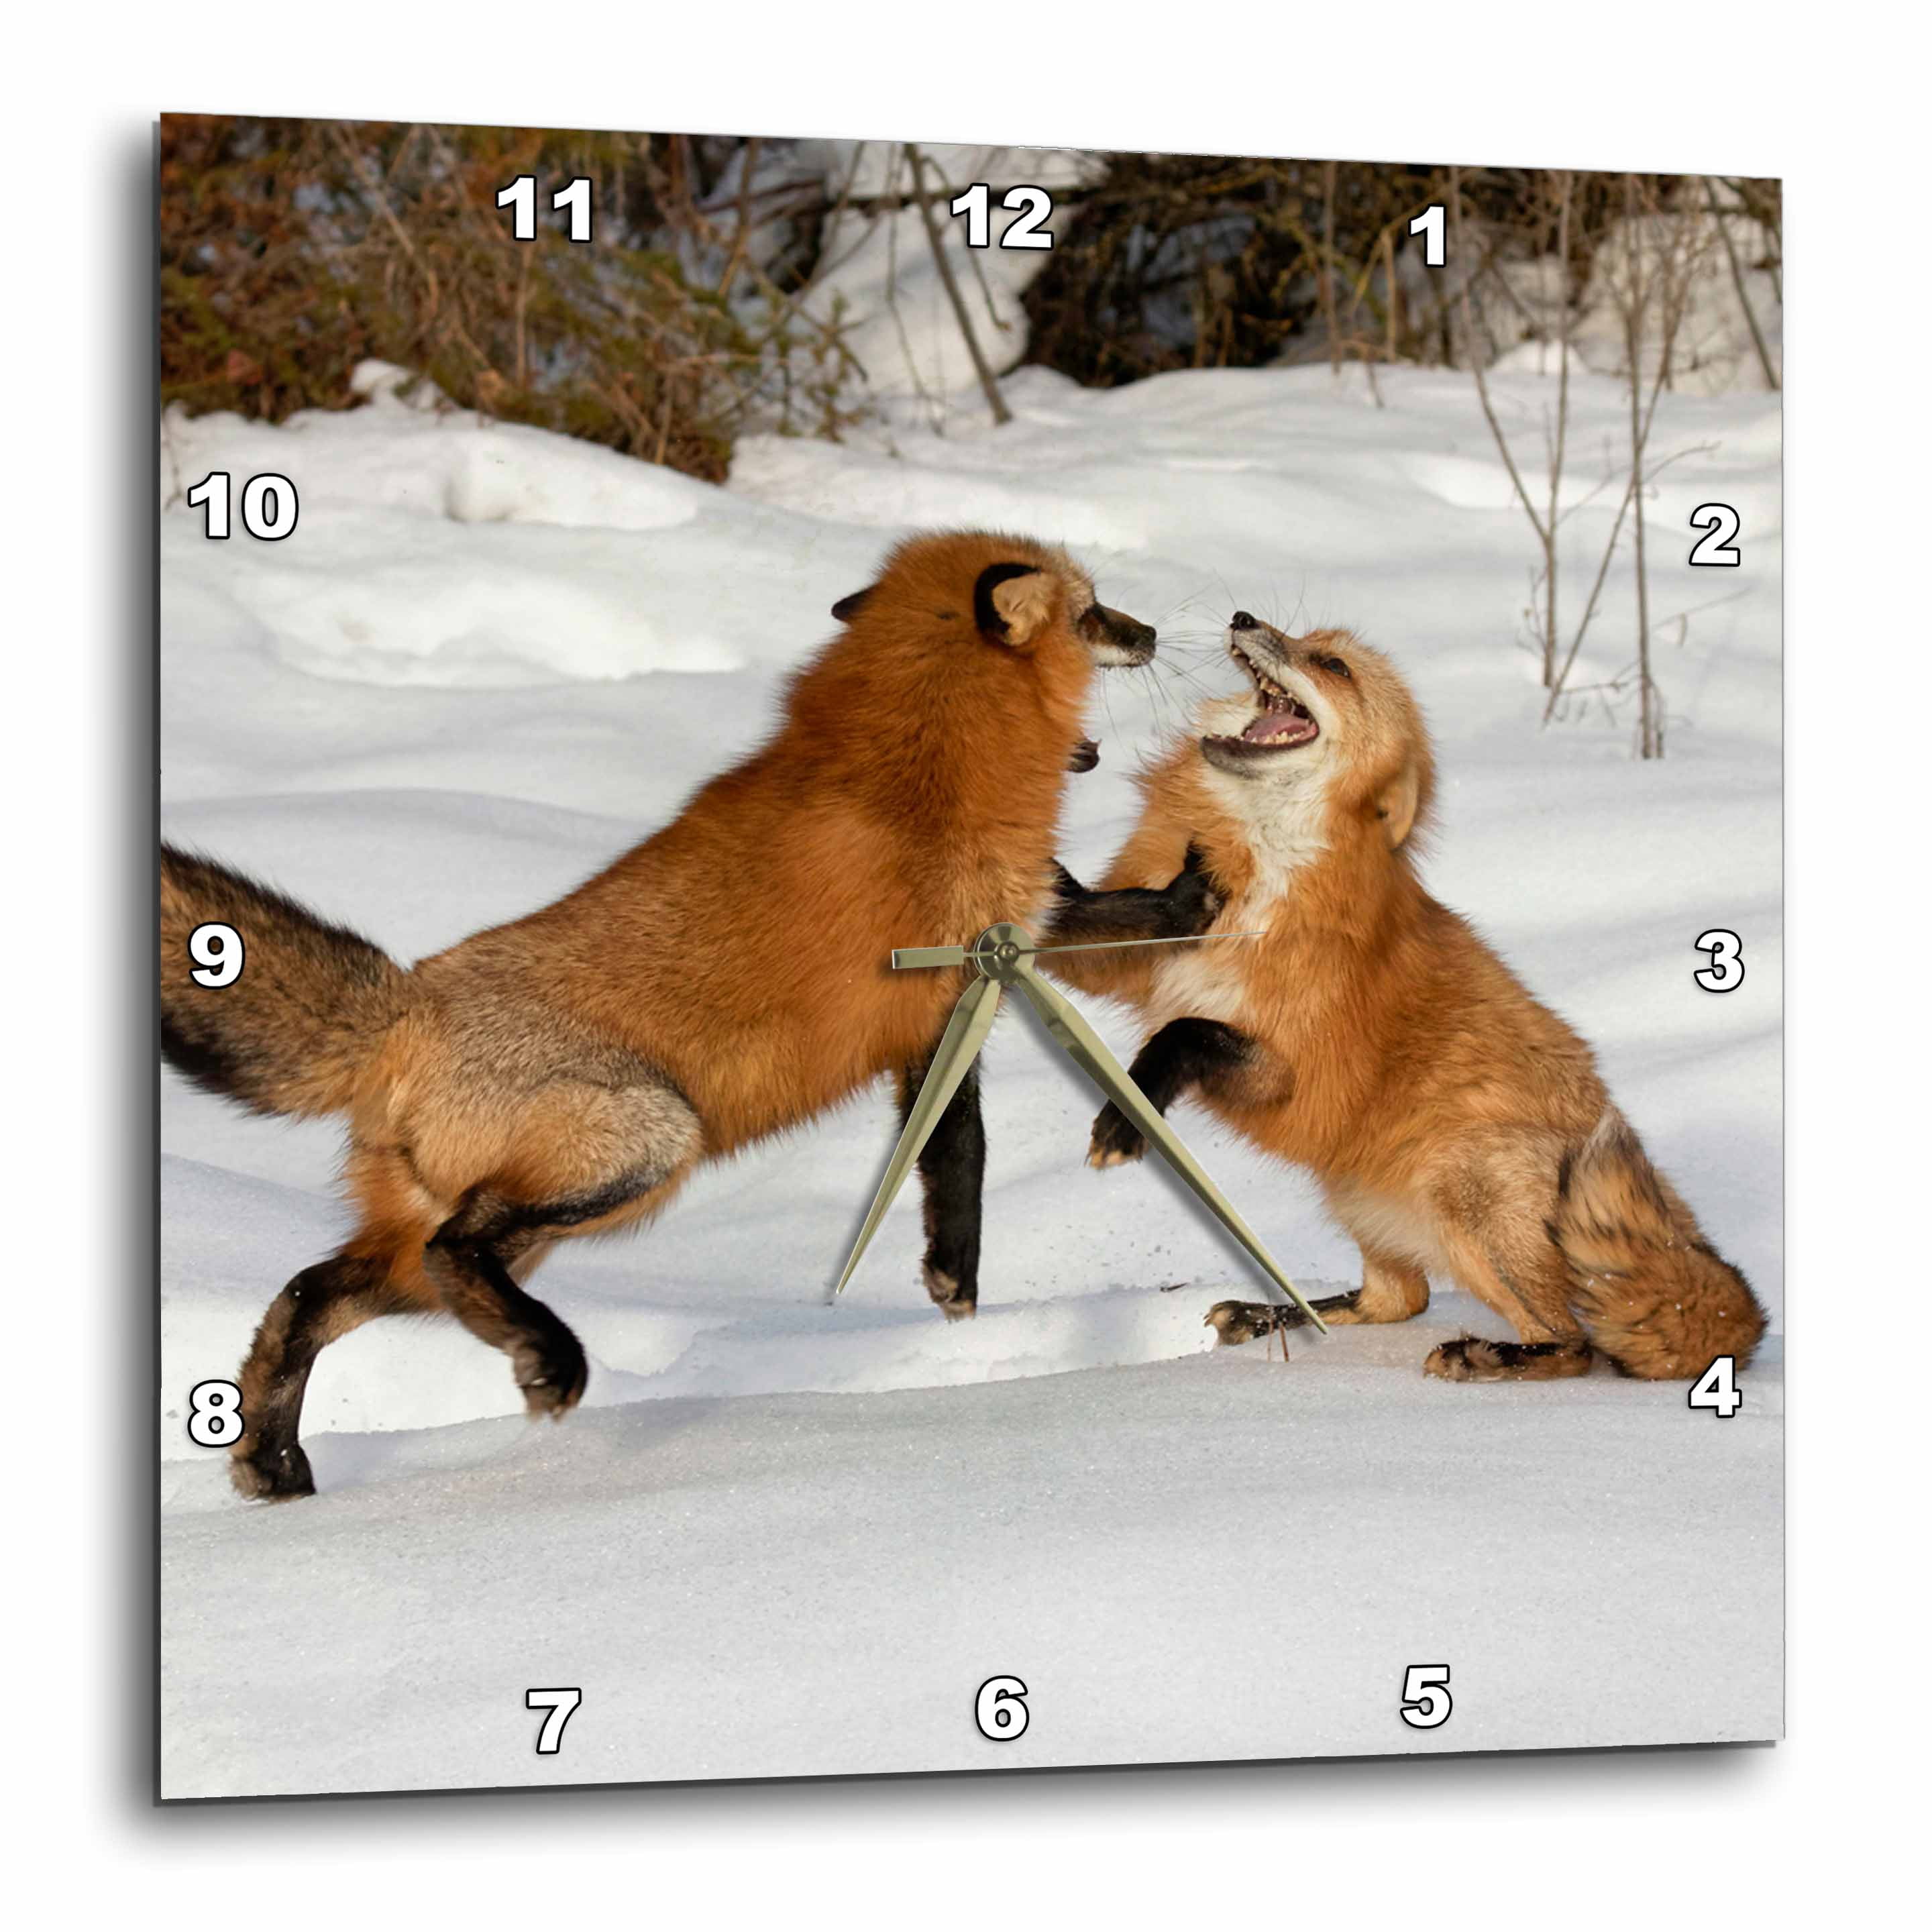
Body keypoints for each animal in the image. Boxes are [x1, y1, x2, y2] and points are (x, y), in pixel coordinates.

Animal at [161, 529, 1219, 1499]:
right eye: (1095, 612)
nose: (1153, 632)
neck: (920, 770)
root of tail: (407, 1005)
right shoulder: (956, 993)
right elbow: (967, 1153)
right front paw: (960, 1295)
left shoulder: (999, 954)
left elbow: (980, 1109)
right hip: (646, 1142)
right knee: (454, 1250)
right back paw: (548, 1362)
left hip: (457, 1247)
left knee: (309, 1293)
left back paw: (273, 1464)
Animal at [1052, 609, 1766, 1383]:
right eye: (1300, 636)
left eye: (1333, 666)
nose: (1244, 618)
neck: (1265, 862)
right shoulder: (1125, 960)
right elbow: (1087, 928)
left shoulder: (1297, 1071)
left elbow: (1183, 1032)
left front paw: (1125, 1120)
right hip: (1356, 1194)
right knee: (1395, 1300)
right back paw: (1266, 1314)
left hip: (1466, 1193)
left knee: (1573, 1346)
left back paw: (1487, 1356)